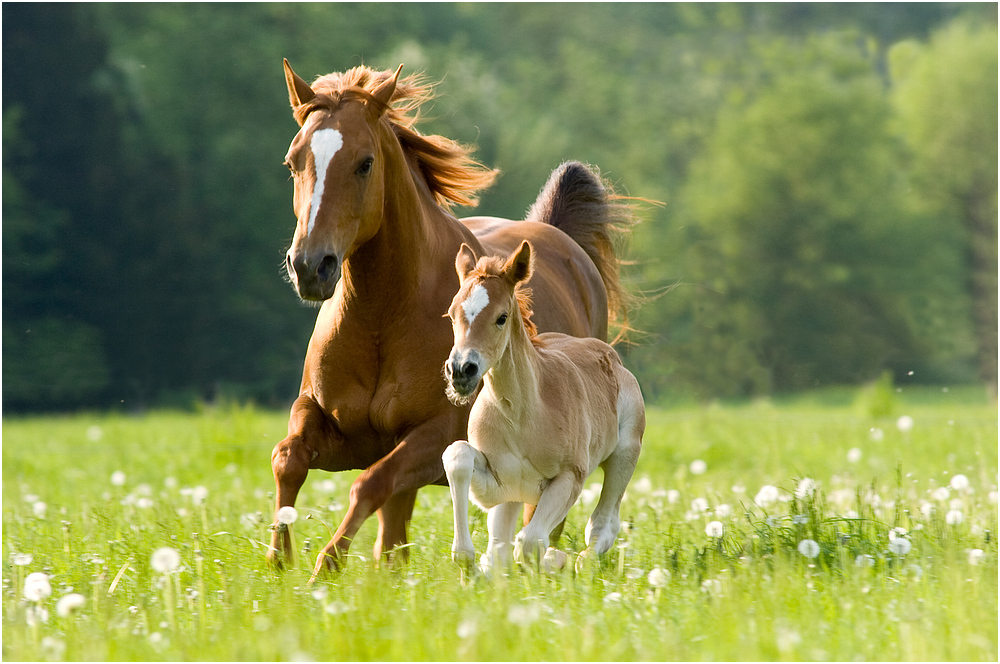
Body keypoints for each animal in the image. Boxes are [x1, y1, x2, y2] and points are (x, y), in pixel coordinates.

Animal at [442, 241, 645, 571]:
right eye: (451, 315)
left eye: (501, 317)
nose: (461, 370)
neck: (521, 416)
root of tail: (609, 353)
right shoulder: (502, 485)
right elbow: (457, 455)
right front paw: (466, 558)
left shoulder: (569, 477)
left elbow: (529, 542)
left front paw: (553, 561)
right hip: (514, 495)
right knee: (499, 545)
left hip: (625, 452)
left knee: (603, 525)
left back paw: (575, 561)